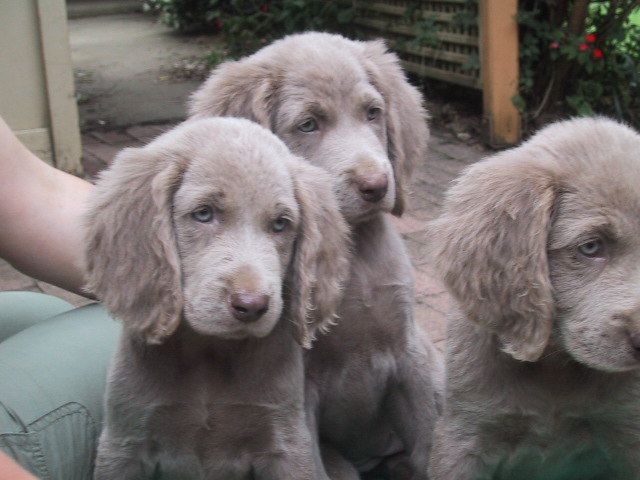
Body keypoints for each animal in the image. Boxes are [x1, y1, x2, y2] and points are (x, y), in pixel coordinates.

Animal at [85, 117, 350, 480]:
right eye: (204, 214)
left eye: (281, 224)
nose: (251, 306)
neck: (210, 353)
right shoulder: (124, 443)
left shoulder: (286, 444)